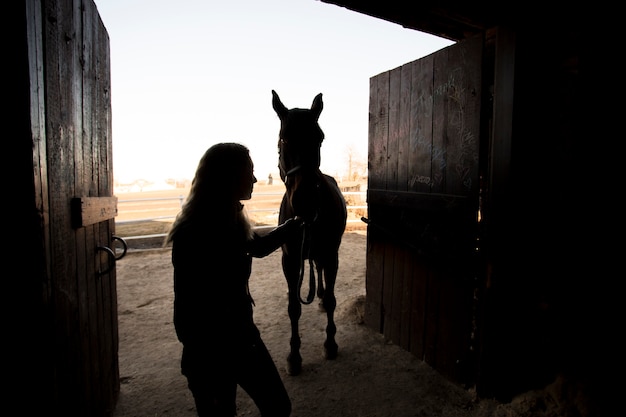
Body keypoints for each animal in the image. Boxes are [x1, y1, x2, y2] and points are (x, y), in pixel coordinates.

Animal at [270, 89, 346, 376]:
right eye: (283, 137)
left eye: (319, 137)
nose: (305, 201)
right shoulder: (290, 261)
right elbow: (294, 308)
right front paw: (294, 356)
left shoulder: (332, 255)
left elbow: (333, 299)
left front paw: (331, 344)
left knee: (320, 270)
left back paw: (321, 297)